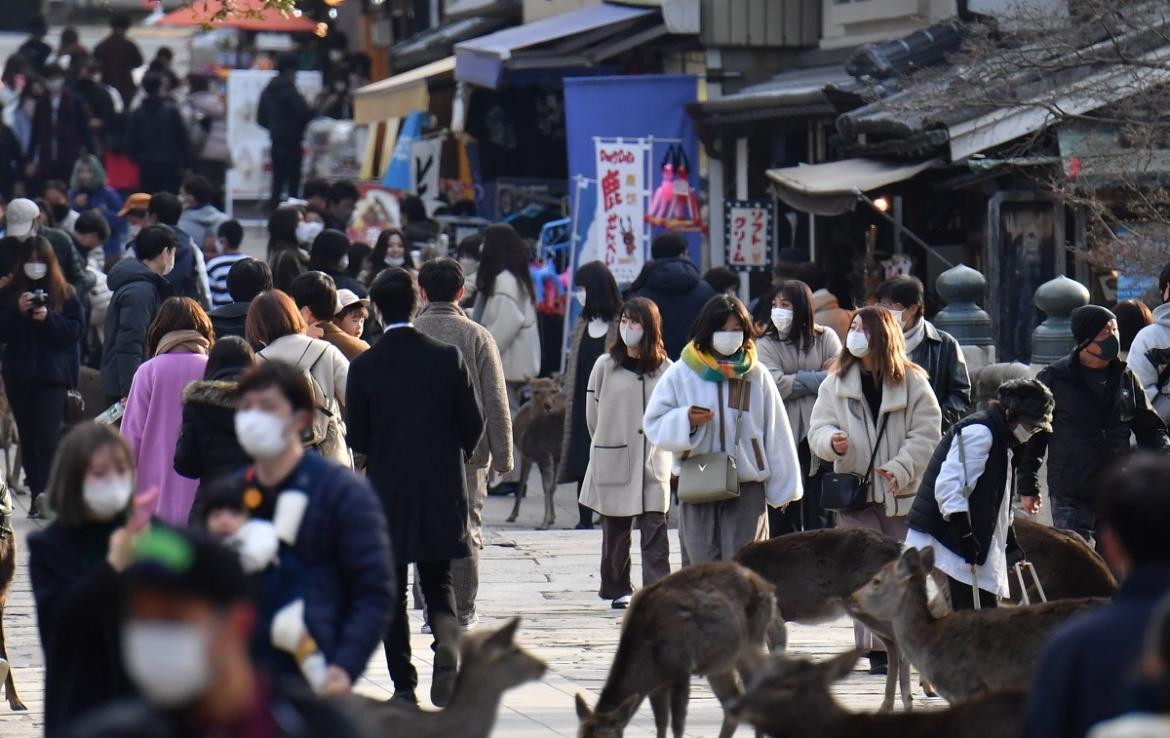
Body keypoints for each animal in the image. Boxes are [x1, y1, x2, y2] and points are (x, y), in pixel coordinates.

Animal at [507, 381, 566, 530]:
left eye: (554, 391)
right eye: (536, 392)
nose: (548, 406)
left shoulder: (541, 455)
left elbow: (547, 486)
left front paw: (545, 522)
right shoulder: (547, 456)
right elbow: (550, 486)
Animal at [575, 559, 776, 738]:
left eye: (605, 737)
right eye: (580, 735)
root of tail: (767, 587)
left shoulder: (682, 669)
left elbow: (677, 725)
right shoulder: (657, 685)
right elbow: (661, 724)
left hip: (754, 638)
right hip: (720, 663)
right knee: (732, 701)